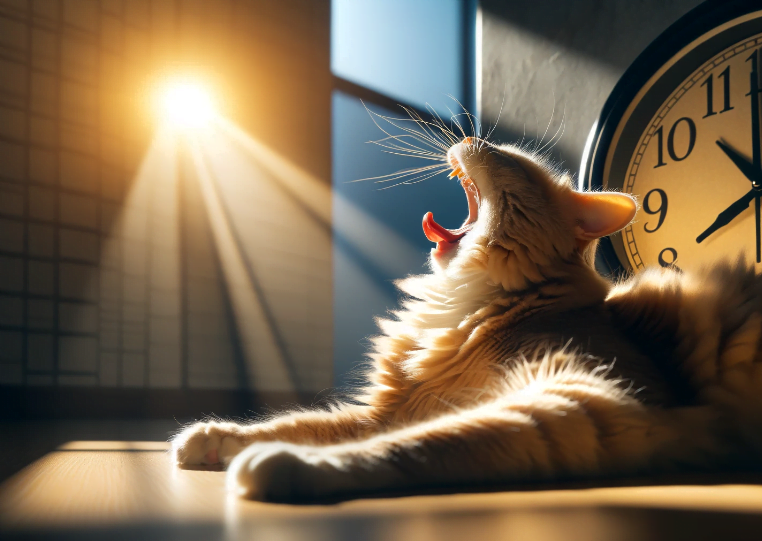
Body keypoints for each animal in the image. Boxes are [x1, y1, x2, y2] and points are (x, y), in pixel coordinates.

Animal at [172, 136, 760, 502]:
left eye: (510, 161)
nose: (473, 136)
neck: (471, 308)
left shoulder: (585, 397)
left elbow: (421, 444)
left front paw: (285, 465)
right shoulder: (389, 410)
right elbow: (302, 423)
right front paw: (211, 438)